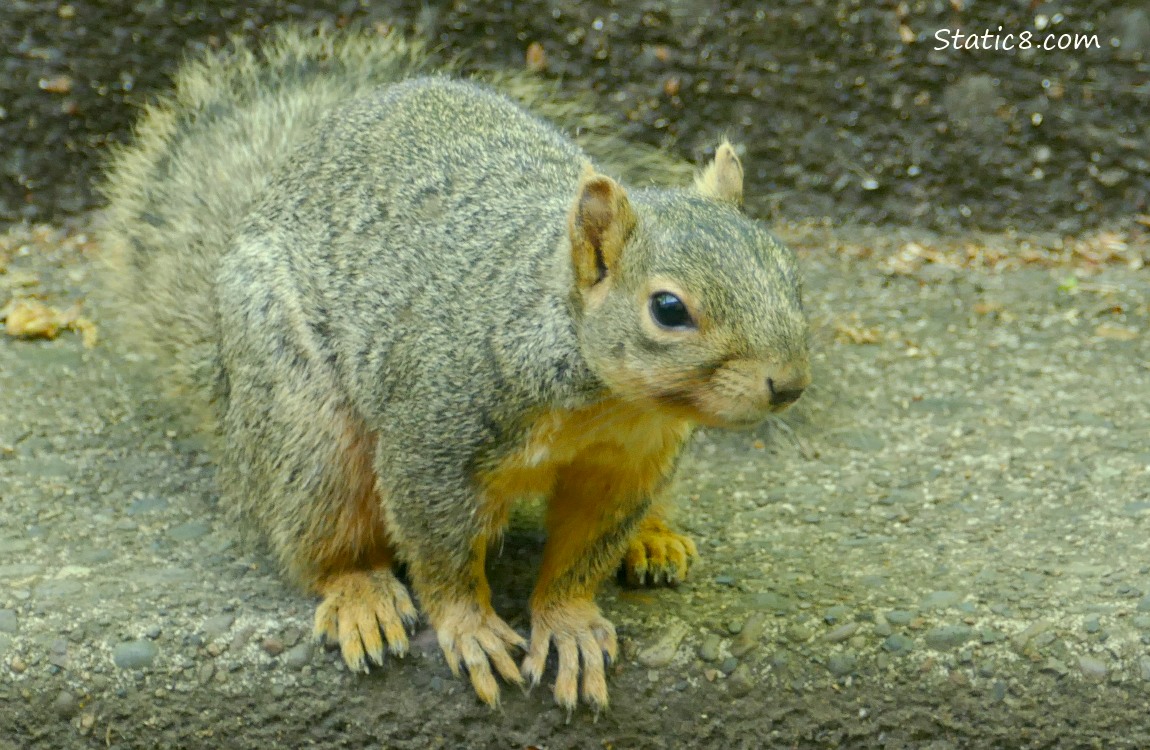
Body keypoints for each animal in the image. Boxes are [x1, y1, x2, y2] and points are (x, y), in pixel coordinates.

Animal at [103, 26, 814, 713]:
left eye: (789, 271)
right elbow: (440, 555)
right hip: (302, 415)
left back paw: (655, 537)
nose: (789, 384)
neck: (604, 401)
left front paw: (570, 625)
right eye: (668, 309)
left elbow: (584, 553)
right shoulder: (432, 438)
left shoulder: (628, 463)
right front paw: (471, 630)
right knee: (319, 531)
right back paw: (360, 595)